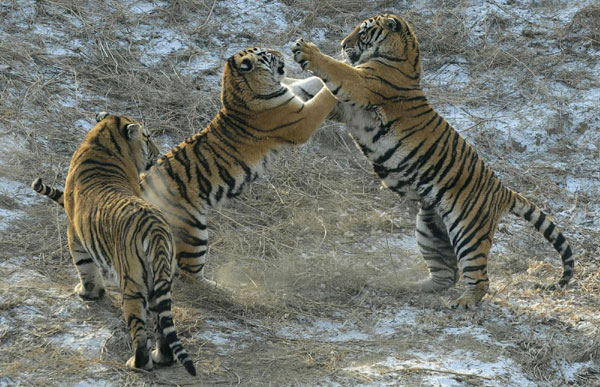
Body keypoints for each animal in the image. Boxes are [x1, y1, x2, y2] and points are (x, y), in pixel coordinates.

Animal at [34, 47, 338, 286]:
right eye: (266, 54)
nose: (280, 52)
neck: (239, 91)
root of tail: (140, 187)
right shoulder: (300, 119)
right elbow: (325, 96)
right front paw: (342, 72)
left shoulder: (293, 95)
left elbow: (310, 82)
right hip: (194, 235)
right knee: (189, 274)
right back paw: (221, 289)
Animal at [35, 111, 197, 376]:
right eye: (148, 138)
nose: (158, 151)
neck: (103, 141)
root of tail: (156, 231)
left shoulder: (74, 231)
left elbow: (84, 266)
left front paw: (88, 293)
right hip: (160, 279)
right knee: (163, 324)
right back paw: (162, 358)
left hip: (132, 283)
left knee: (139, 330)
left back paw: (138, 362)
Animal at [292, 13, 576, 310]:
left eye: (363, 31)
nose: (342, 43)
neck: (403, 59)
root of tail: (503, 191)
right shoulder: (345, 107)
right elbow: (313, 87)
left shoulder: (362, 84)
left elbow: (336, 69)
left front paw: (307, 51)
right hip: (430, 230)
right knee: (446, 275)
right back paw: (412, 286)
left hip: (469, 232)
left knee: (479, 278)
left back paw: (463, 302)